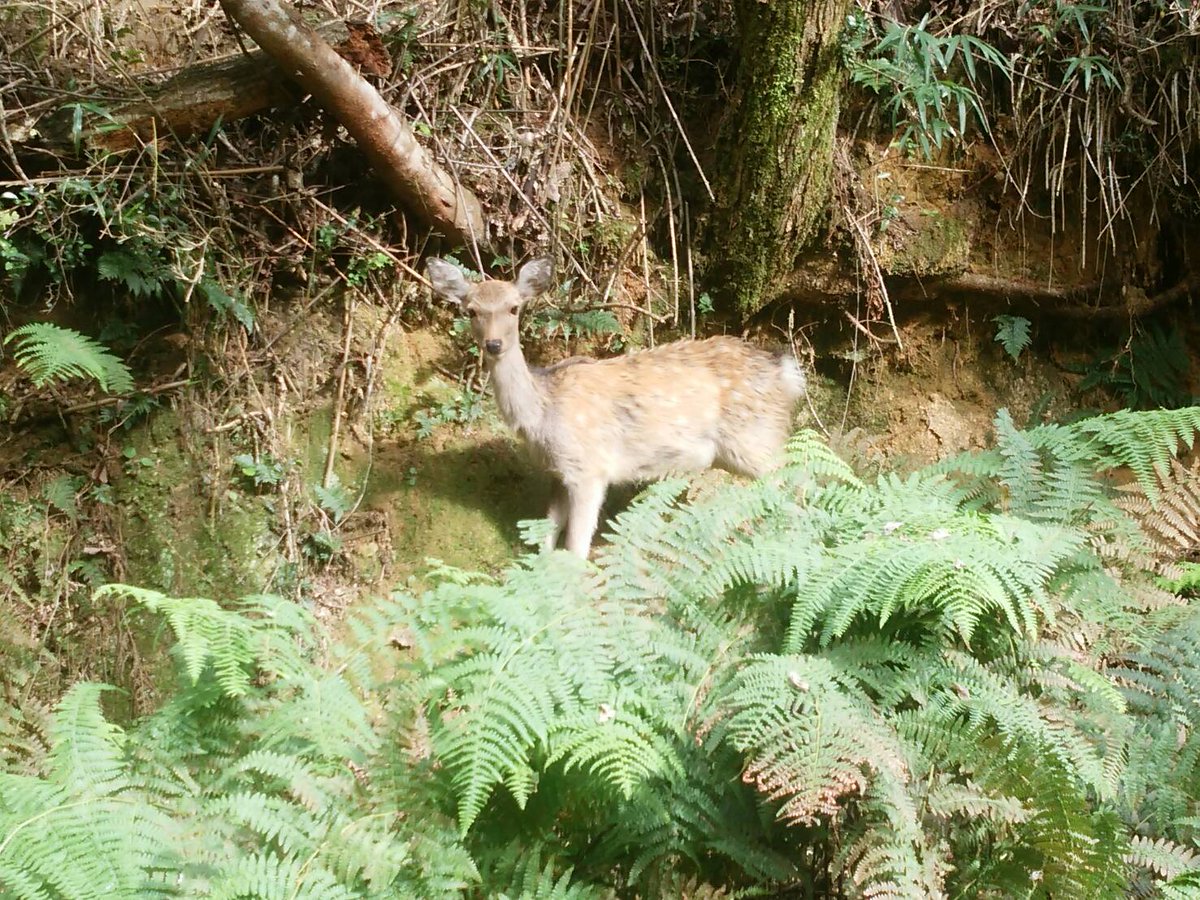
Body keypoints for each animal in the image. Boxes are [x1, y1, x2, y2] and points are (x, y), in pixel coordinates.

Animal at [426, 256, 806, 558]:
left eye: (514, 307)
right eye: (471, 310)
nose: (493, 344)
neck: (542, 412)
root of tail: (785, 372)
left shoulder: (589, 468)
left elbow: (575, 548)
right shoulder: (558, 472)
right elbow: (547, 536)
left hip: (757, 440)